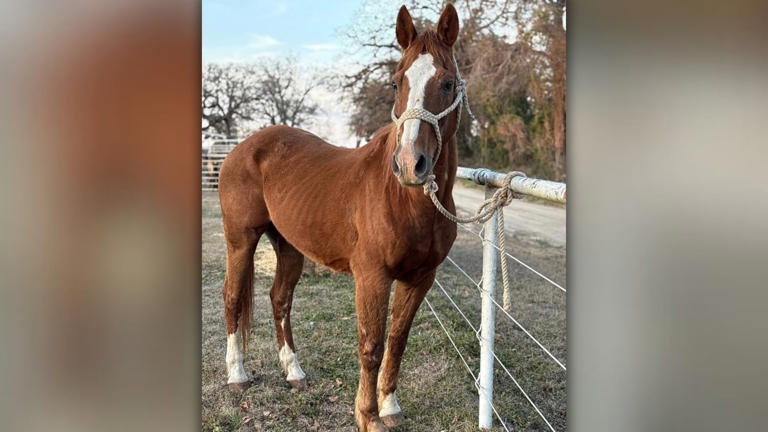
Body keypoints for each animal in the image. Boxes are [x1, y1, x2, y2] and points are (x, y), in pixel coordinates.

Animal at [218, 5, 462, 431]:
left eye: (447, 83)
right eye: (396, 82)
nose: (409, 164)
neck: (403, 200)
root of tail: (243, 147)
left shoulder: (420, 278)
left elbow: (397, 341)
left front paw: (390, 406)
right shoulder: (372, 277)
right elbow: (371, 345)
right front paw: (368, 416)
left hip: (289, 246)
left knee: (280, 299)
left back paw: (294, 372)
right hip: (241, 239)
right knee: (233, 298)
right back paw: (237, 375)